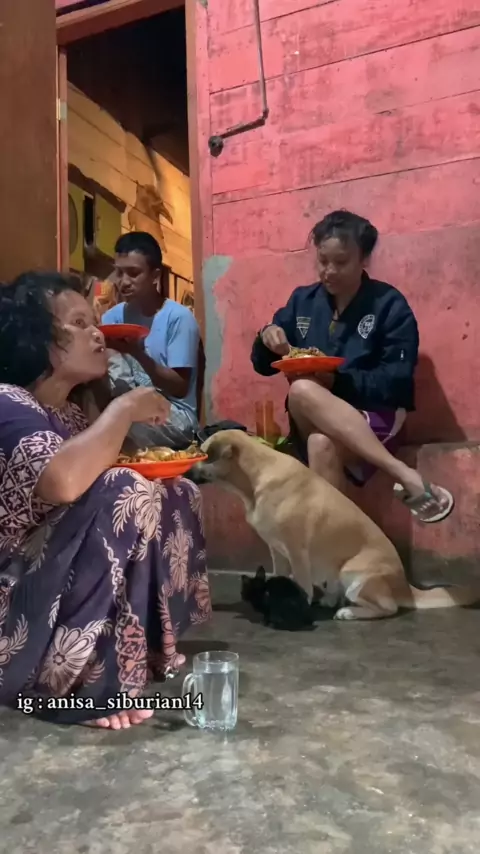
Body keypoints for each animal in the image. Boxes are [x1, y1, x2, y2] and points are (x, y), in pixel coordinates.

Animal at [189, 430, 480, 620]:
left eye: (200, 455)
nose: (185, 472)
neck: (254, 478)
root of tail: (406, 588)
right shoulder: (276, 548)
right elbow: (278, 573)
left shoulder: (295, 548)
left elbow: (301, 581)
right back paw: (330, 600)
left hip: (353, 573)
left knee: (388, 608)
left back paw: (349, 611)